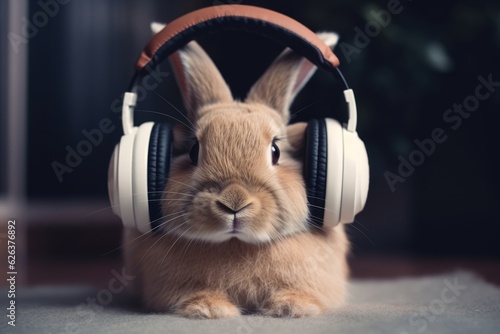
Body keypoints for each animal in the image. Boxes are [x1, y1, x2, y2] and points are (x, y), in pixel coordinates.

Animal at [122, 23, 348, 318]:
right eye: (194, 150)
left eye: (275, 151)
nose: (234, 202)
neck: (236, 243)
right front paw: (209, 309)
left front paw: (292, 307)